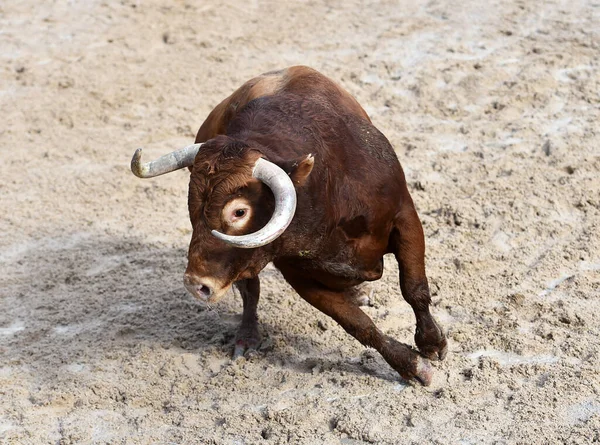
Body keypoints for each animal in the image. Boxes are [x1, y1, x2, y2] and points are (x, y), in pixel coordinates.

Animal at [132, 66, 450, 386]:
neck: (328, 194)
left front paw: (432, 345)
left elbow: (414, 288)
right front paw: (412, 365)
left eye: (239, 211)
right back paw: (247, 338)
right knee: (250, 290)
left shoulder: (405, 217)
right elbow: (358, 324)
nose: (195, 284)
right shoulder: (297, 273)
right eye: (192, 205)